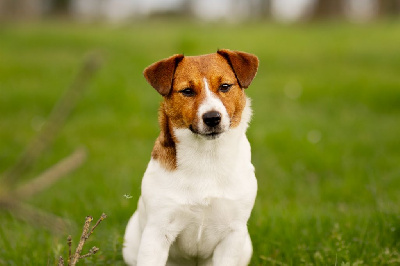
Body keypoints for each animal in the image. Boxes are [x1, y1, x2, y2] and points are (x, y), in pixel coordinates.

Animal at [122, 50, 260, 266]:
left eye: (225, 86)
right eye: (187, 91)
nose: (212, 118)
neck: (207, 157)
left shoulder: (233, 234)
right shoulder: (158, 231)